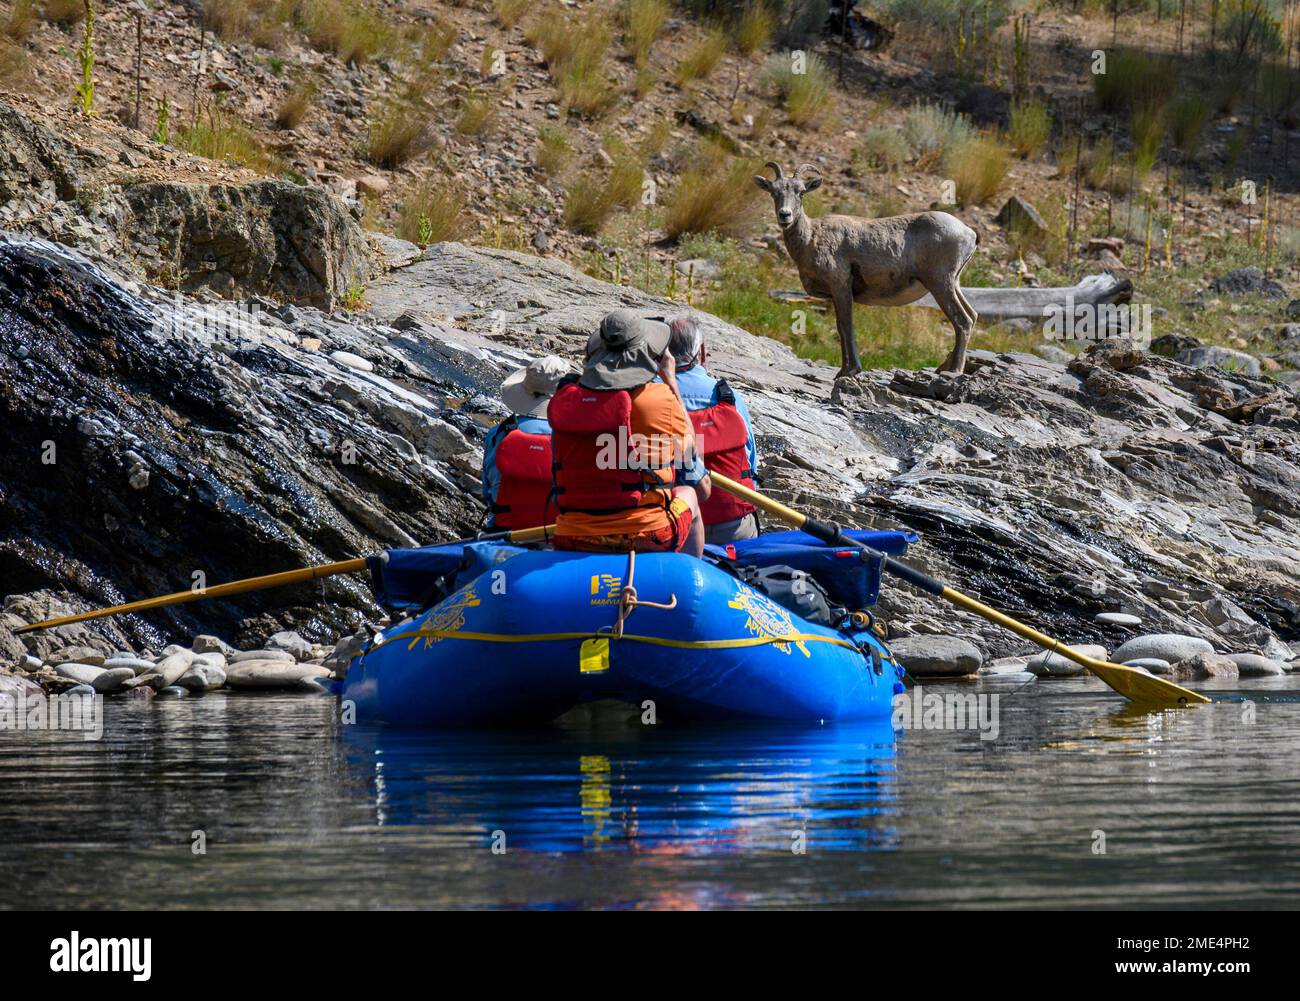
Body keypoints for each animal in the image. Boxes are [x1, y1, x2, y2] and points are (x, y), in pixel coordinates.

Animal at [754, 162, 979, 378]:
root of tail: (968, 233)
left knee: (963, 320)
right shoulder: (835, 295)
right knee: (973, 315)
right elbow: (840, 327)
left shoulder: (841, 287)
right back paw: (943, 368)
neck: (811, 238)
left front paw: (850, 370)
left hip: (940, 284)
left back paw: (953, 371)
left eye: (801, 192)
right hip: (953, 283)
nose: (785, 215)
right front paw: (843, 371)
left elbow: (846, 326)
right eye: (773, 192)